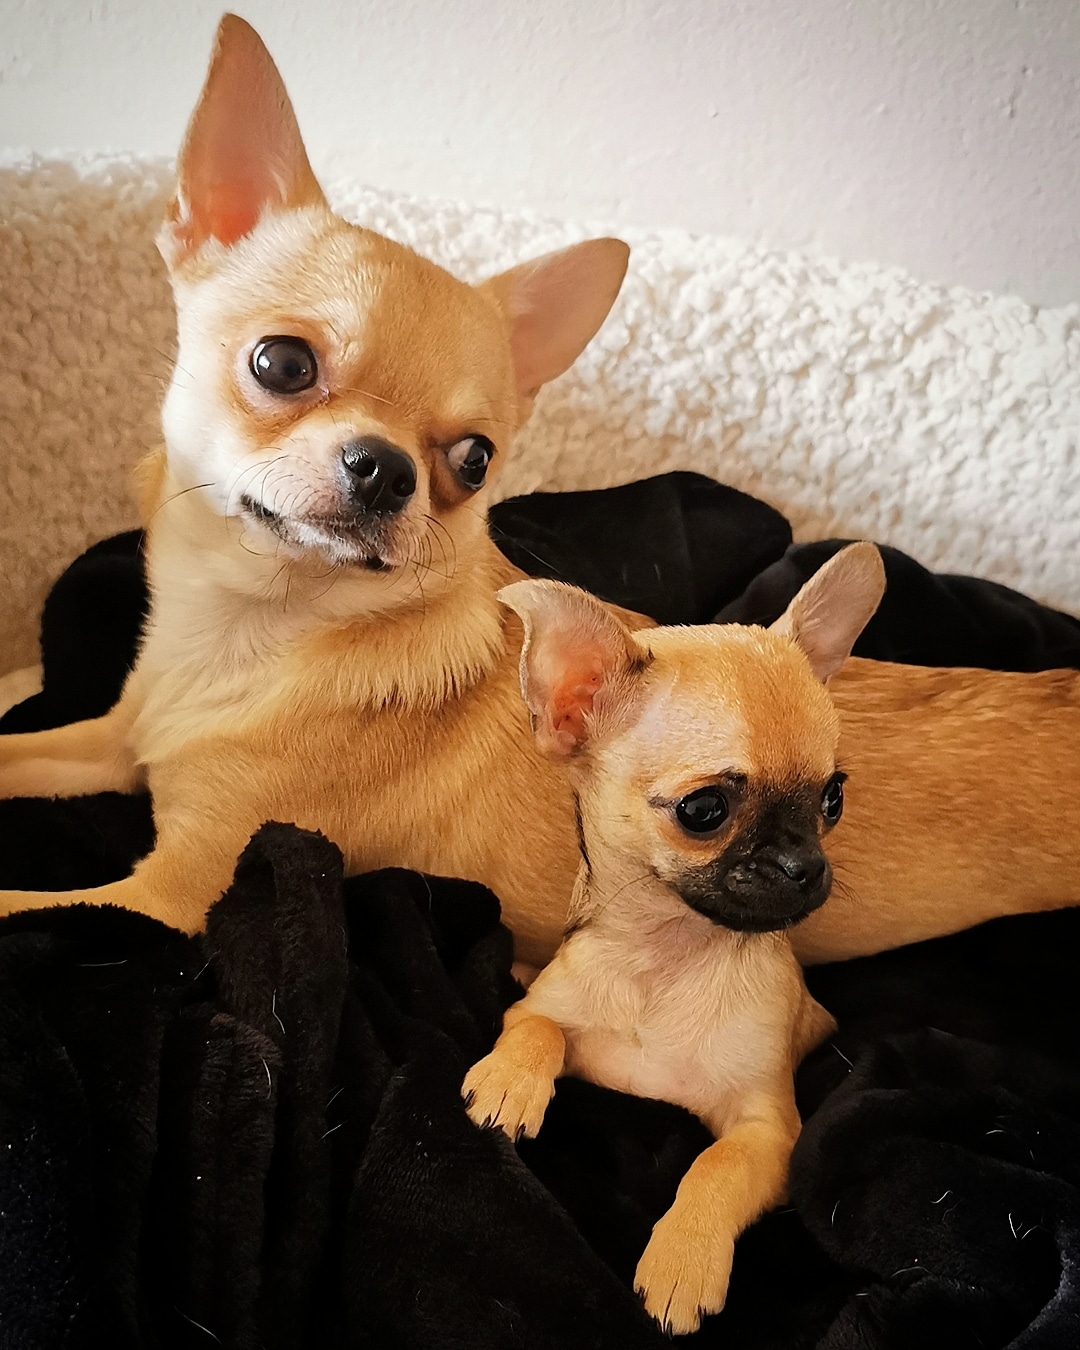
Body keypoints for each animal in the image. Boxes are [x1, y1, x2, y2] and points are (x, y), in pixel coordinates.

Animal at [0, 15, 1077, 971]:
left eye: (475, 460)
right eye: (281, 363)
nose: (385, 467)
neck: (253, 632)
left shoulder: (172, 891)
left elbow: (22, 903)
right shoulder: (114, 743)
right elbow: (19, 749)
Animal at [463, 544, 885, 1333]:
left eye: (833, 798)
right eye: (703, 810)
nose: (806, 866)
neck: (667, 959)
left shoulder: (765, 1131)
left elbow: (714, 1168)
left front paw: (681, 1264)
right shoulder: (537, 1008)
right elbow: (537, 1028)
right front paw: (510, 1083)